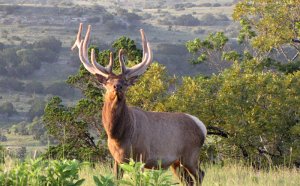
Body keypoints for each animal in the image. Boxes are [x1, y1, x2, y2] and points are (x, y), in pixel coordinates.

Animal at [72, 24, 207, 185]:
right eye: (108, 82)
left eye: (125, 82)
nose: (117, 86)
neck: (118, 136)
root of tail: (202, 127)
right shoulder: (117, 160)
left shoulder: (141, 156)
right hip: (176, 162)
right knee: (189, 180)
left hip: (191, 154)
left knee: (200, 175)